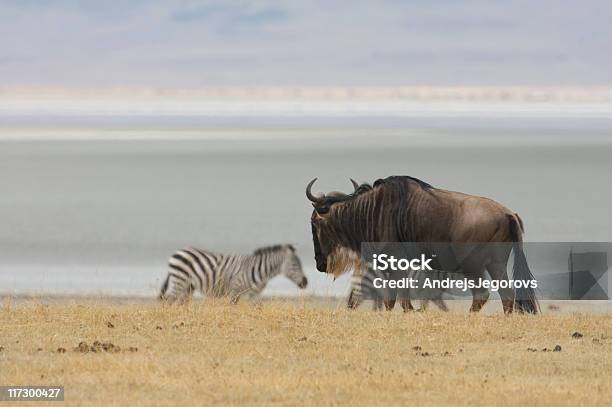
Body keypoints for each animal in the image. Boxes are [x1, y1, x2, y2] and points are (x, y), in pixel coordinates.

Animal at [160, 244, 308, 304]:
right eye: (295, 265)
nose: (305, 283)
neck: (260, 269)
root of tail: (177, 252)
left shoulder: (253, 295)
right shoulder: (235, 290)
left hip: (189, 285)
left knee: (181, 301)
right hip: (180, 280)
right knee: (169, 299)